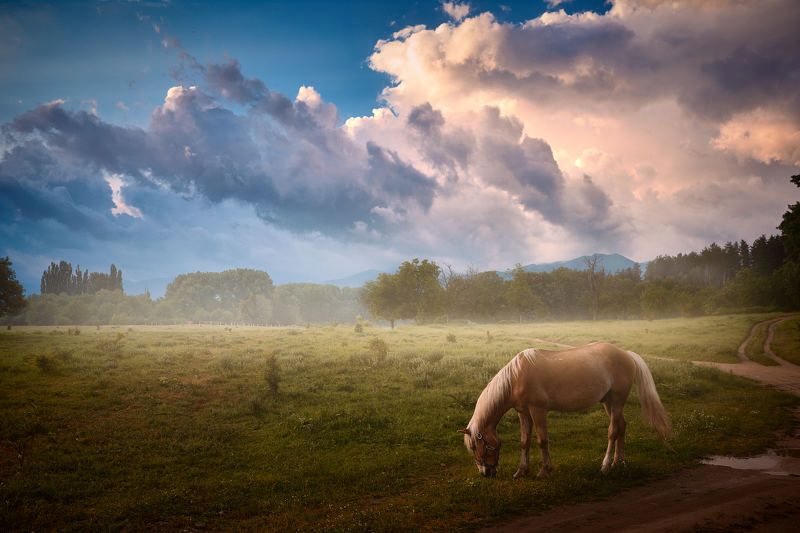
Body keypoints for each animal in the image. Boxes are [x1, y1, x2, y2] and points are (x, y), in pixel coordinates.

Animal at [458, 342, 671, 478]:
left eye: (476, 446)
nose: (486, 473)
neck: (516, 377)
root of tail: (626, 354)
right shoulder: (524, 413)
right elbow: (524, 442)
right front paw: (521, 471)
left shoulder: (538, 411)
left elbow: (542, 440)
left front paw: (544, 471)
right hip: (609, 402)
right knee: (622, 427)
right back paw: (620, 462)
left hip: (617, 400)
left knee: (612, 431)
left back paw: (605, 466)